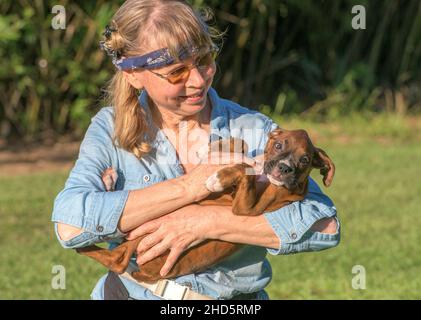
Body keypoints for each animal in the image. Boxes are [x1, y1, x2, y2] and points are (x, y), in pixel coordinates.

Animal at [76, 127, 334, 282]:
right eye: (279, 145)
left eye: (304, 160)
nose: (284, 168)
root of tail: (146, 275)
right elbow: (241, 146)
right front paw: (218, 150)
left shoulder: (246, 208)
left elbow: (244, 171)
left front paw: (217, 178)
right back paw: (108, 179)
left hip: (136, 240)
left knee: (116, 260)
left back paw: (83, 249)